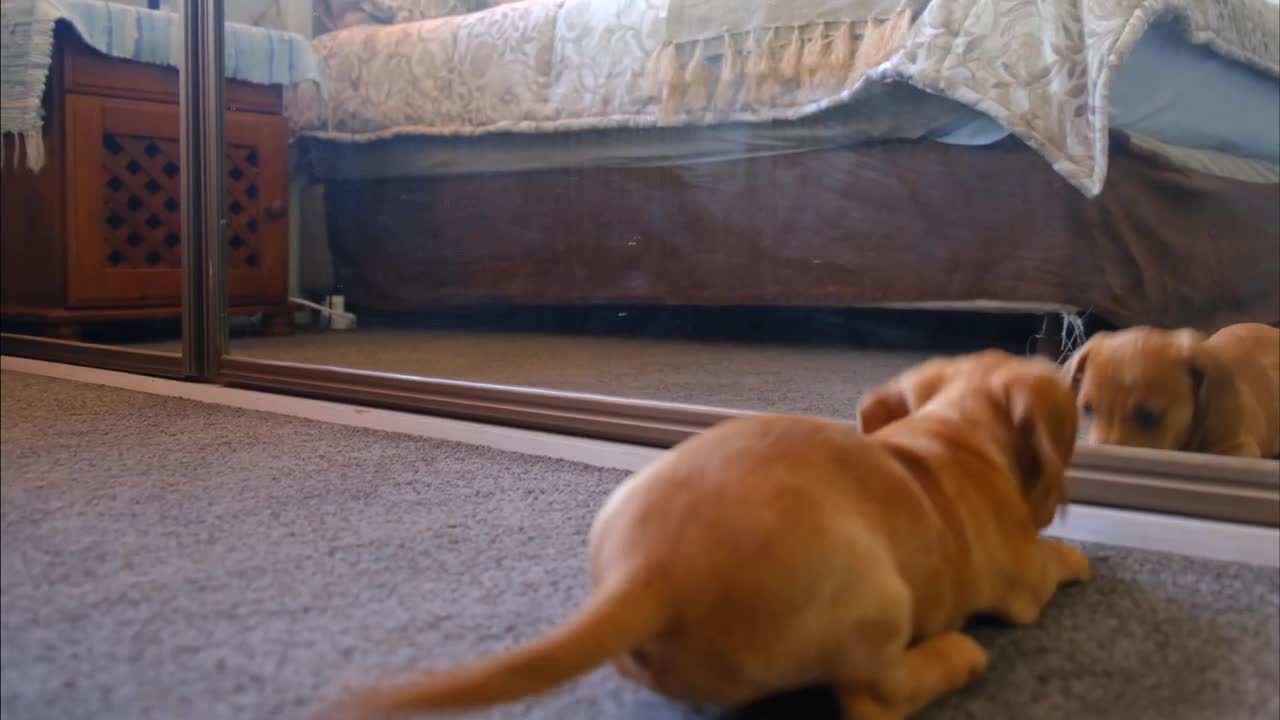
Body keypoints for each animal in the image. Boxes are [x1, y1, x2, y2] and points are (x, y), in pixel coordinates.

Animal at [322, 348, 1090, 717]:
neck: (953, 434)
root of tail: (649, 572)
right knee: (874, 698)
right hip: (879, 601)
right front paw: (1073, 554)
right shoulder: (1021, 582)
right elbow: (1046, 562)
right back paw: (956, 657)